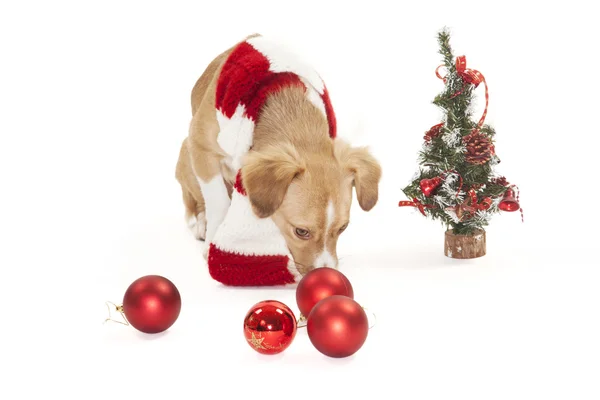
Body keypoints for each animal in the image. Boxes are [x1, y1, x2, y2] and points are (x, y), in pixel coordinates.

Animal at [176, 33, 380, 284]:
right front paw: (212, 241)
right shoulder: (201, 147)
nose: (326, 272)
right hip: (186, 155)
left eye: (343, 228)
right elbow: (218, 201)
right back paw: (203, 223)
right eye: (301, 231)